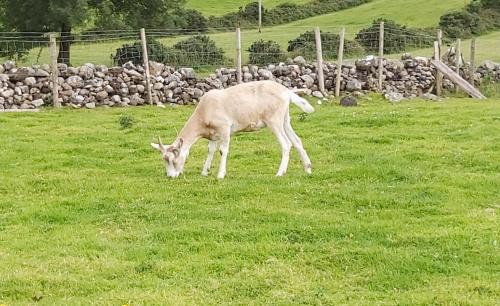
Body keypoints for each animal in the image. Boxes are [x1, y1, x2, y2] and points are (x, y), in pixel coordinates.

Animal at [150, 80, 312, 178]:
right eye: (164, 159)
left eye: (173, 159)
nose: (170, 176)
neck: (205, 110)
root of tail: (286, 92)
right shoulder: (213, 134)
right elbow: (210, 150)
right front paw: (205, 172)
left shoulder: (225, 128)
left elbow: (223, 151)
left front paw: (220, 174)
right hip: (285, 120)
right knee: (297, 141)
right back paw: (308, 168)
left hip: (274, 121)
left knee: (286, 144)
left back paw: (280, 172)